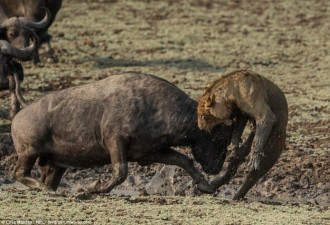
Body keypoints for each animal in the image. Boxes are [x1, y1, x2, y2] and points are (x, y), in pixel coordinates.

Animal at [197, 70, 288, 199]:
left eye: (202, 116)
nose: (200, 127)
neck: (233, 90)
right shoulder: (242, 111)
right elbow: (238, 127)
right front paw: (234, 145)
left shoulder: (262, 112)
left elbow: (263, 126)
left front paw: (254, 158)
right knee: (234, 164)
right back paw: (211, 186)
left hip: (273, 147)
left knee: (255, 173)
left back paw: (238, 195)